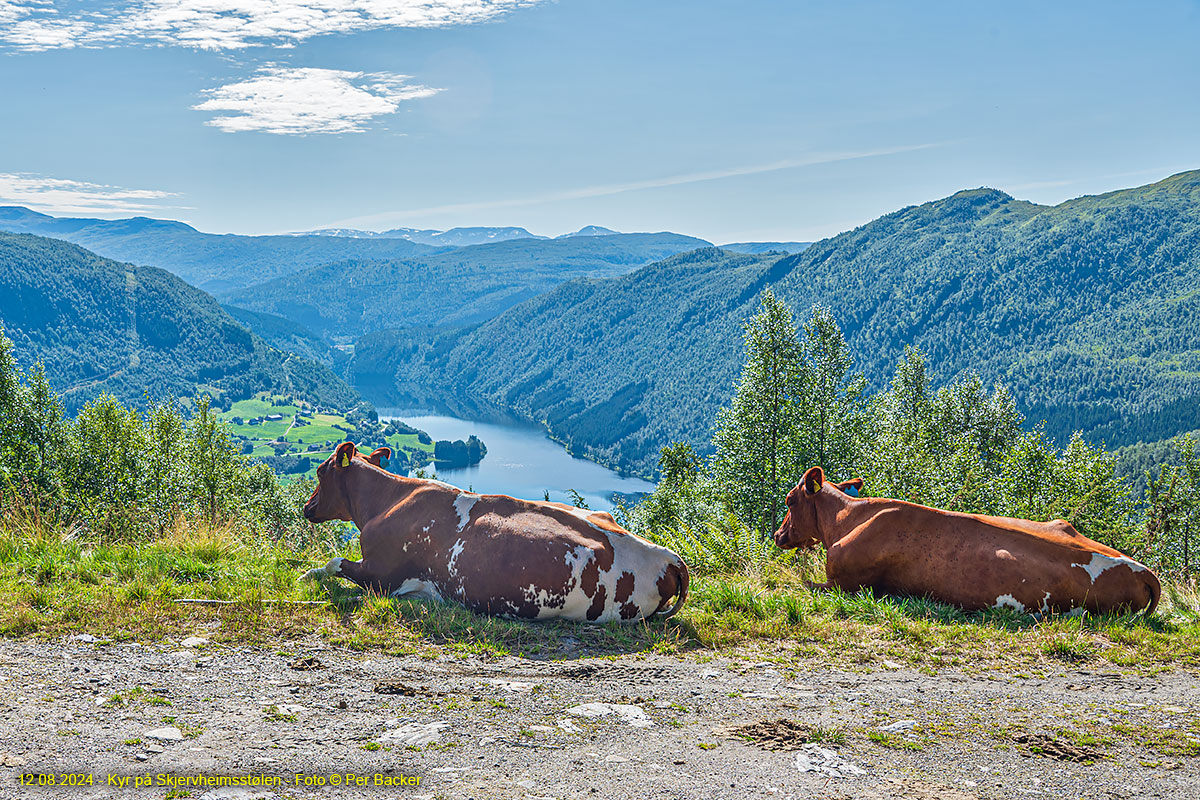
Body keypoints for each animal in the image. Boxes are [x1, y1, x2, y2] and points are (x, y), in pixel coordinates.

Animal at [300, 441, 691, 623]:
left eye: (319, 471)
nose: (306, 507)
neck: (387, 500)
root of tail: (670, 558)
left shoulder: (382, 576)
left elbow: (334, 562)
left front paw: (306, 575)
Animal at [772, 465, 1156, 618]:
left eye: (790, 501)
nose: (778, 535)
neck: (847, 520)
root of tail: (1144, 570)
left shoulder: (843, 583)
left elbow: (802, 582)